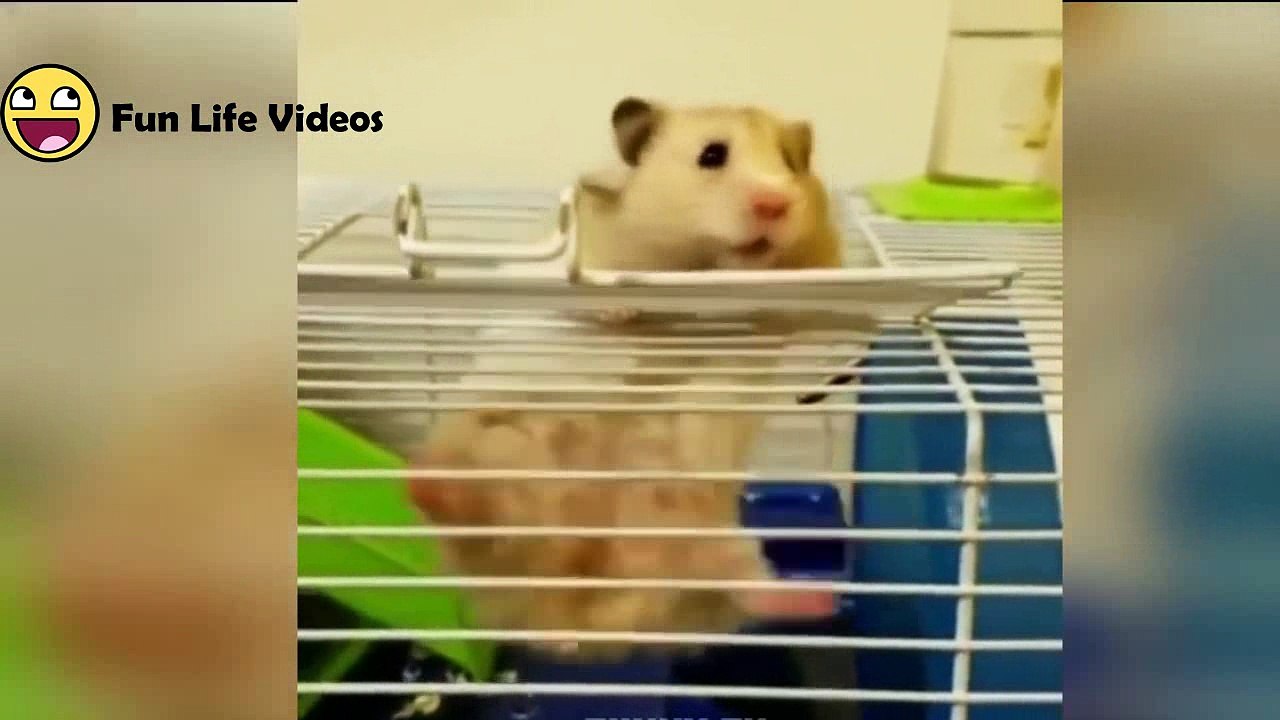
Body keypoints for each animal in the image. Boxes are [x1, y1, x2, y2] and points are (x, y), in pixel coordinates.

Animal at [409, 97, 850, 662]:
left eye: (792, 164)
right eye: (712, 155)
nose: (776, 201)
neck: (701, 271)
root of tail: (602, 618)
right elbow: (591, 288)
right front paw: (622, 312)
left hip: (717, 537)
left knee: (744, 587)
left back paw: (818, 598)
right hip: (502, 451)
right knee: (477, 517)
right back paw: (428, 480)